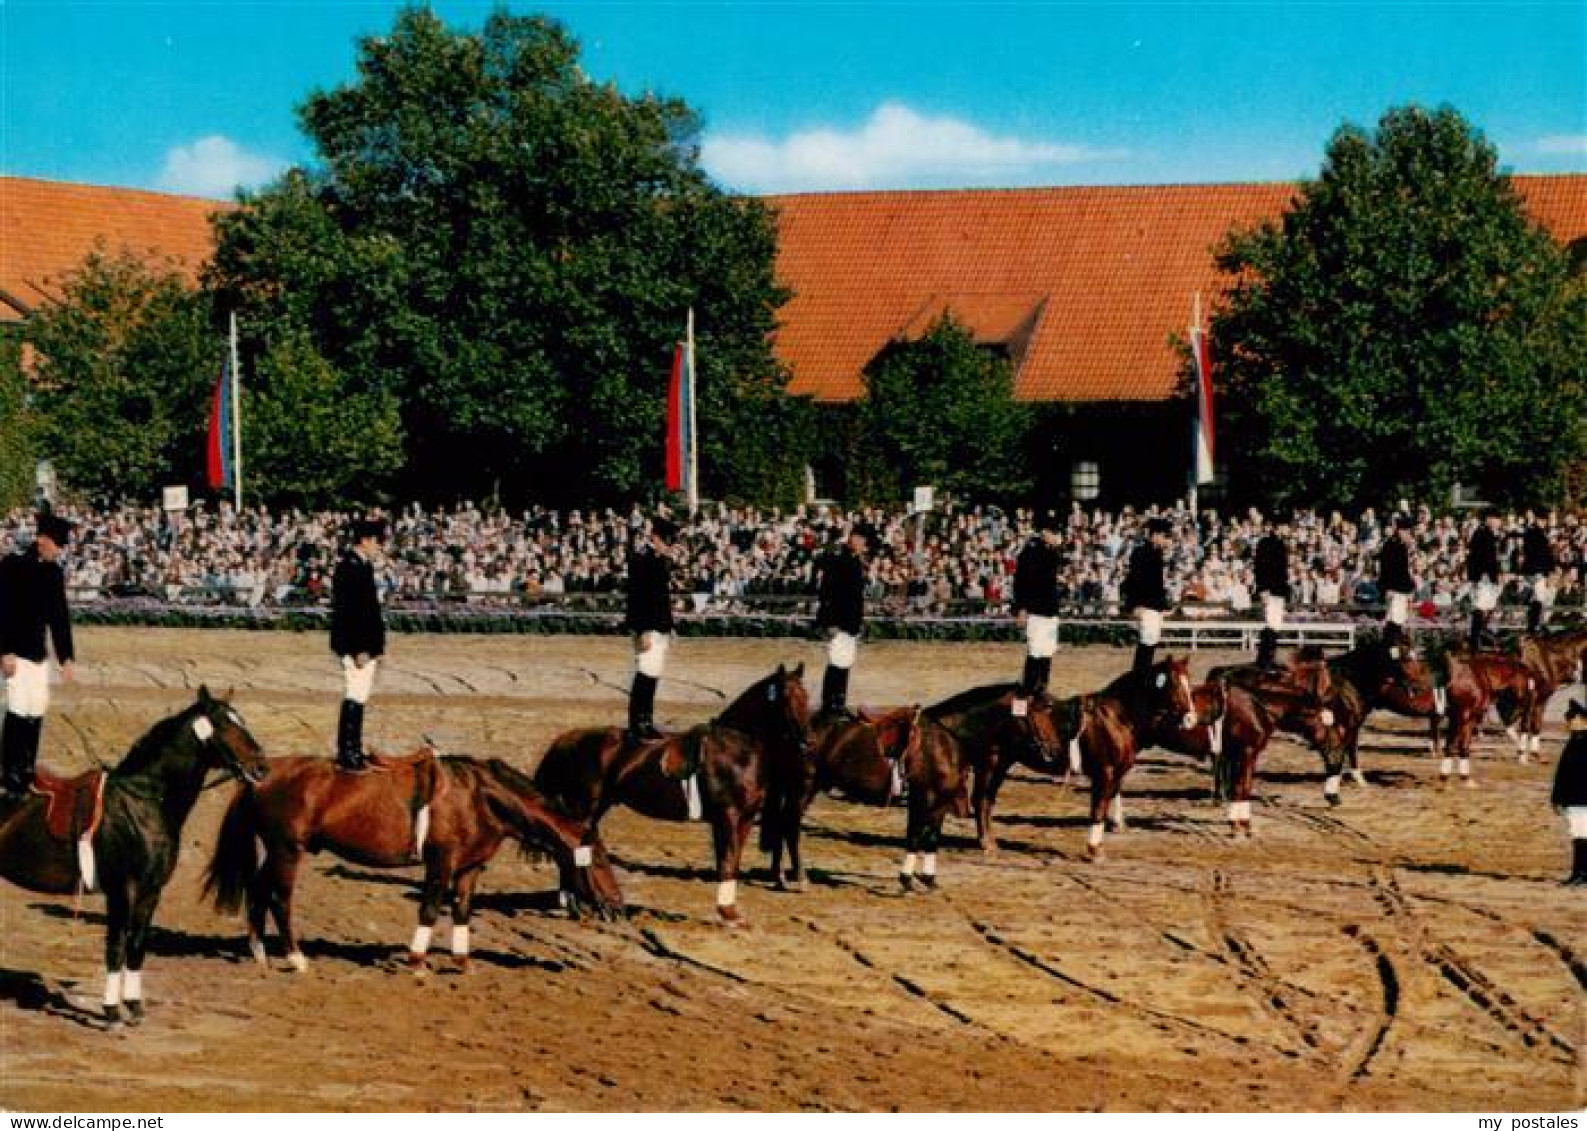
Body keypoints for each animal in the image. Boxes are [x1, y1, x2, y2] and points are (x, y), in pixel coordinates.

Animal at [0, 685, 266, 1027]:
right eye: (224, 725)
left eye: (241, 721)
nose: (261, 768)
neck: (142, 801)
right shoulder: (122, 889)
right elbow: (116, 945)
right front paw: (111, 1011)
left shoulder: (151, 891)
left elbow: (137, 945)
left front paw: (134, 1006)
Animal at [199, 748, 618, 970]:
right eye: (599, 861)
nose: (617, 906)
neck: (478, 796)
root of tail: (260, 776)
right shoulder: (441, 862)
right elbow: (430, 907)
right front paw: (417, 962)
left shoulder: (470, 867)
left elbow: (462, 909)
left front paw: (462, 962)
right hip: (287, 850)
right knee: (279, 898)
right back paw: (296, 958)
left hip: (275, 851)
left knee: (257, 890)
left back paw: (259, 953)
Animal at [533, 666, 812, 920]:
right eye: (787, 697)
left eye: (807, 697)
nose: (807, 742)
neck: (734, 748)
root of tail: (568, 739)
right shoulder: (728, 816)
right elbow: (727, 861)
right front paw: (728, 913)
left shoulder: (744, 819)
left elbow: (732, 862)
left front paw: (730, 911)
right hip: (584, 808)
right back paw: (574, 904)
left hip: (596, 808)